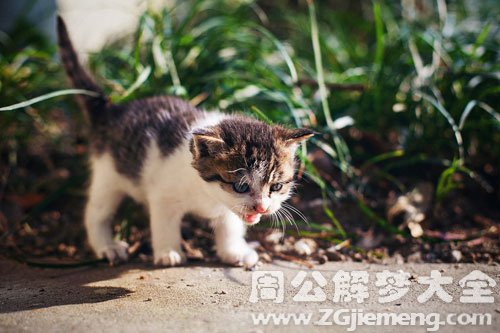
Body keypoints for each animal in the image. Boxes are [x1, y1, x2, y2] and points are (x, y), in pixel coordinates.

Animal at [55, 16, 312, 268]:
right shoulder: (163, 194)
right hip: (108, 173)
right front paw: (169, 252)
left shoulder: (227, 208)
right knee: (96, 212)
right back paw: (107, 246)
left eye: (276, 186)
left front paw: (234, 251)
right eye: (240, 186)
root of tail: (112, 109)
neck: (206, 193)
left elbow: (229, 224)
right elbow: (164, 223)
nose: (261, 207)